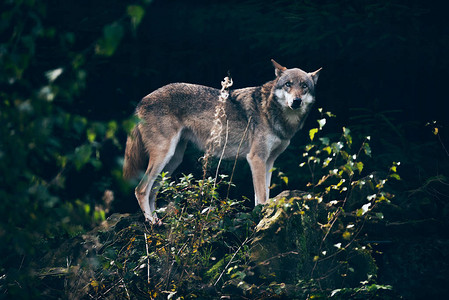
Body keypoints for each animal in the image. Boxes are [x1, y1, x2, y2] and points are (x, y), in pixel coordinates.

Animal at [122, 59, 318, 223]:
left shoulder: (269, 162)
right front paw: (261, 218)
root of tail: (141, 101)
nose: (296, 101)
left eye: (304, 86)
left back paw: (158, 221)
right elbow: (261, 197)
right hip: (164, 156)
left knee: (153, 191)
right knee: (141, 189)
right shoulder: (256, 159)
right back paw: (151, 222)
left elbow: (264, 195)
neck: (274, 114)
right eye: (288, 85)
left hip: (173, 161)